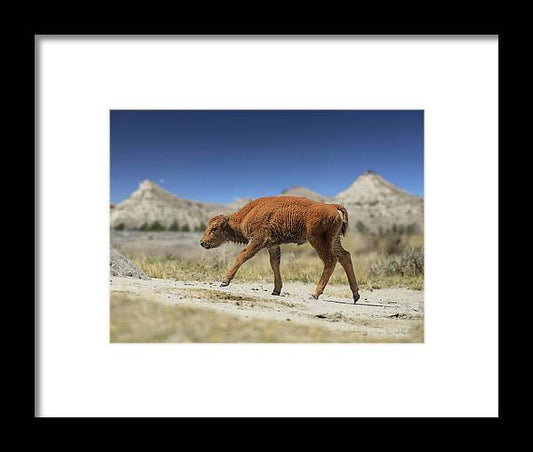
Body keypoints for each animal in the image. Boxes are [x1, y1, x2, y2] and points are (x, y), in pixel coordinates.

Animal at [201, 195, 362, 304]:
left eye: (214, 228)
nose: (202, 242)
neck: (247, 214)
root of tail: (332, 206)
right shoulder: (273, 245)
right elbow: (275, 264)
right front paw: (276, 290)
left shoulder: (259, 240)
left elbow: (242, 256)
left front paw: (224, 281)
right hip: (334, 241)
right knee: (345, 256)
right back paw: (355, 295)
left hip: (318, 241)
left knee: (330, 260)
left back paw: (315, 294)